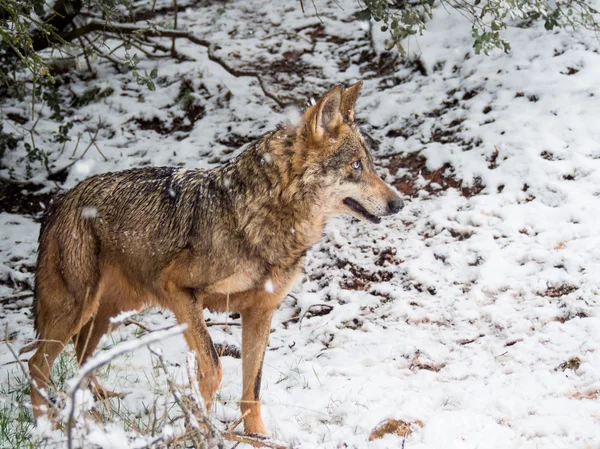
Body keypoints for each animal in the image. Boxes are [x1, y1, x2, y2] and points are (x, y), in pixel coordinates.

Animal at [28, 81, 404, 434]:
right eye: (357, 166)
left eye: (371, 165)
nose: (399, 203)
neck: (257, 217)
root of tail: (61, 198)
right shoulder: (180, 292)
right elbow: (213, 368)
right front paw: (200, 429)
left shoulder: (260, 313)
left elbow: (252, 389)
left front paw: (258, 437)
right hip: (75, 309)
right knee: (37, 364)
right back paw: (45, 427)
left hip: (114, 311)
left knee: (80, 352)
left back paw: (95, 406)